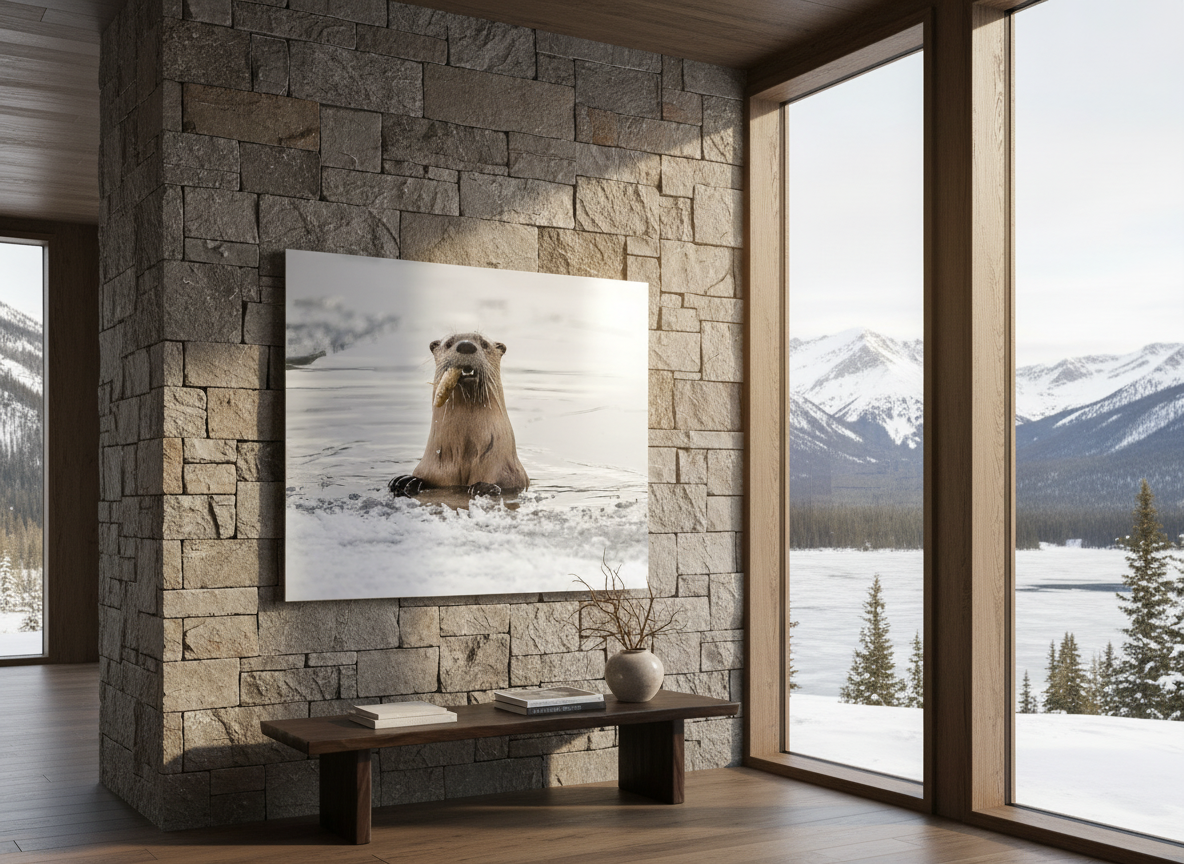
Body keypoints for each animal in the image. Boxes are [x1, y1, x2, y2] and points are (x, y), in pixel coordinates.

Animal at [389, 332, 529, 498]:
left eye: (484, 343)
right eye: (448, 343)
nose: (466, 345)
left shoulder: (511, 474)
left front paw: (485, 487)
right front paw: (405, 481)